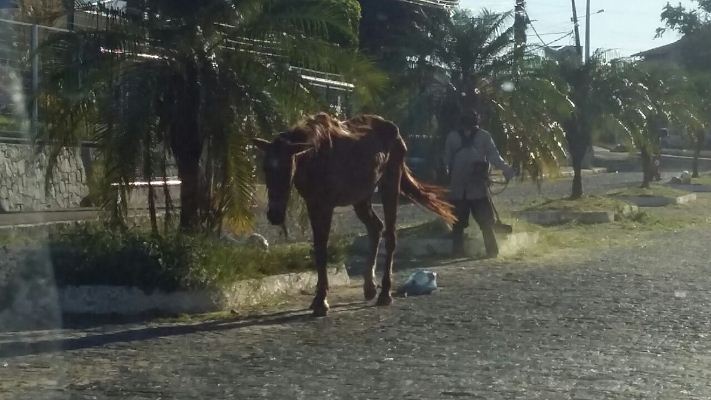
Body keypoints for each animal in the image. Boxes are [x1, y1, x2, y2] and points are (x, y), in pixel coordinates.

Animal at [253, 113, 456, 316]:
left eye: (288, 167)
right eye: (265, 168)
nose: (274, 215)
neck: (313, 156)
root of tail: (397, 133)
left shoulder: (325, 205)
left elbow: (322, 249)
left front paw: (321, 301)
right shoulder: (313, 204)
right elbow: (317, 248)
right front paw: (318, 297)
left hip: (390, 185)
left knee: (390, 236)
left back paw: (385, 293)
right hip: (361, 198)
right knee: (376, 228)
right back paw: (369, 287)